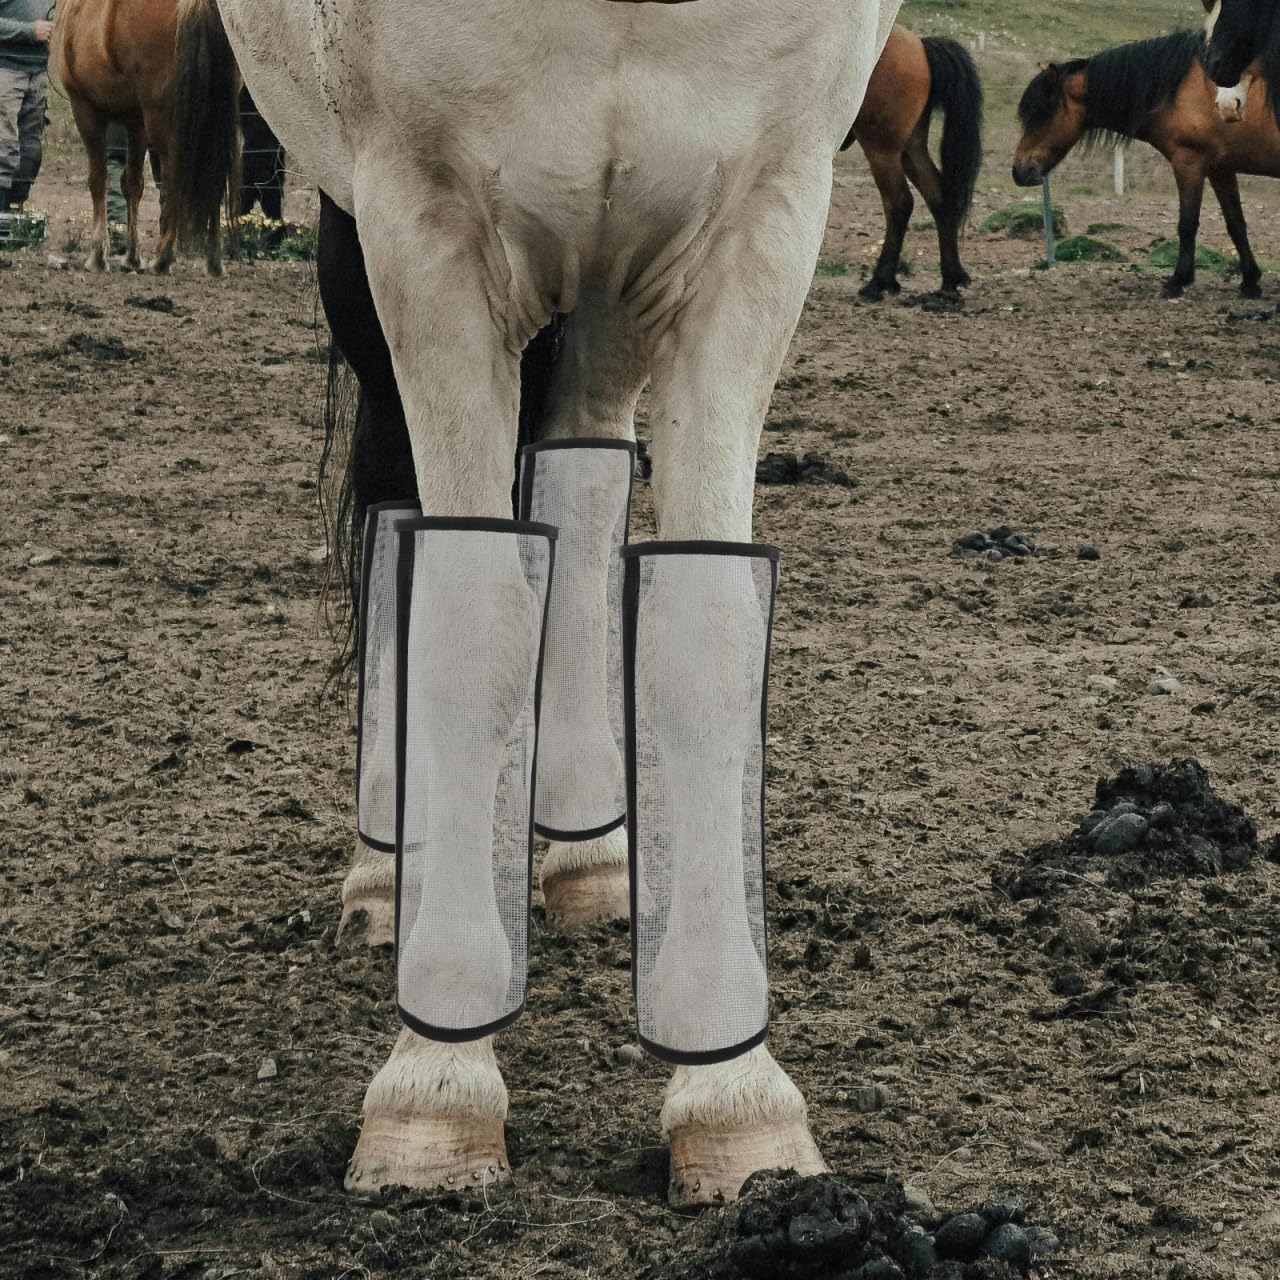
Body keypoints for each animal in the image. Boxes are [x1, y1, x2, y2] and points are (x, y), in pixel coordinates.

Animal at [52, 0, 238, 273]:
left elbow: (98, 180)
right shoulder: (136, 124)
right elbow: (133, 184)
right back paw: (214, 260)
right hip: (214, 121)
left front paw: (98, 255)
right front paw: (132, 257)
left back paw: (163, 257)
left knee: (174, 174)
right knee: (214, 174)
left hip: (164, 123)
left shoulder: (86, 111)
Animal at [175, 0, 903, 1210]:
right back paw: (393, 871)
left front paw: (734, 1096)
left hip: (616, 273)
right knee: (399, 496)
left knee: (582, 471)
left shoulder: (761, 220)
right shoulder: (421, 223)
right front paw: (436, 1087)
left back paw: (589, 858)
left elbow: (704, 645)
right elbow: (468, 629)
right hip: (356, 224)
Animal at [841, 25, 984, 300]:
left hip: (882, 149)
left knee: (899, 202)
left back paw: (880, 281)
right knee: (938, 196)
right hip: (910, 148)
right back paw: (950, 279)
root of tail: (919, 43)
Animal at [1012, 32, 1280, 299]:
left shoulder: (1188, 163)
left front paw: (1177, 280)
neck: (1184, 88)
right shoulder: (1220, 169)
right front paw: (1250, 281)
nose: (1019, 171)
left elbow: (1187, 224)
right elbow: (1236, 224)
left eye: (1041, 112)